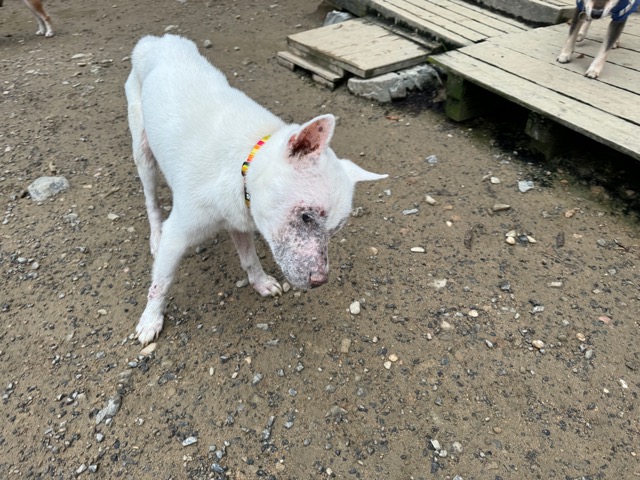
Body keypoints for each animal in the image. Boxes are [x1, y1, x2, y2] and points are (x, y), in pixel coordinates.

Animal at [125, 34, 387, 345]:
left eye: (335, 230)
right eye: (306, 216)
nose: (319, 281)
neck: (244, 165)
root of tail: (157, 40)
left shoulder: (239, 218)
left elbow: (249, 258)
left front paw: (260, 282)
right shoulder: (178, 234)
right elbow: (161, 283)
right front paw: (150, 319)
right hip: (143, 153)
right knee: (151, 200)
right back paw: (155, 235)